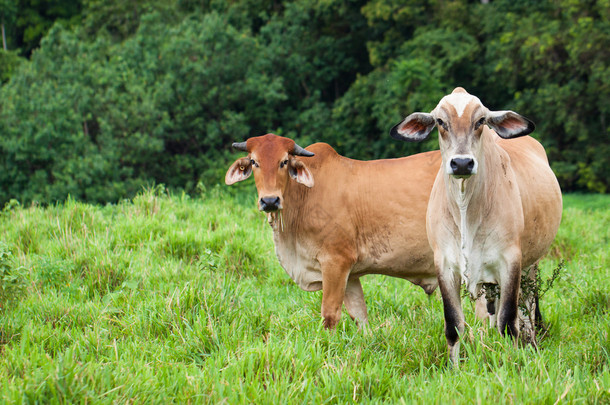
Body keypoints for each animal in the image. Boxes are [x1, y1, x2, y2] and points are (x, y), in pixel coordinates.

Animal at [226, 133, 440, 328]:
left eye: (284, 162)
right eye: (254, 161)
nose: (270, 201)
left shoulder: (336, 261)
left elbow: (330, 315)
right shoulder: (351, 274)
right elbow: (359, 315)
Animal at [390, 87, 560, 362]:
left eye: (480, 121)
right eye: (440, 122)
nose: (461, 163)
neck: (465, 208)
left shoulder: (510, 261)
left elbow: (508, 322)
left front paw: (512, 363)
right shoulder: (444, 265)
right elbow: (454, 324)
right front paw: (454, 366)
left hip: (531, 264)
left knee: (528, 308)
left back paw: (532, 342)